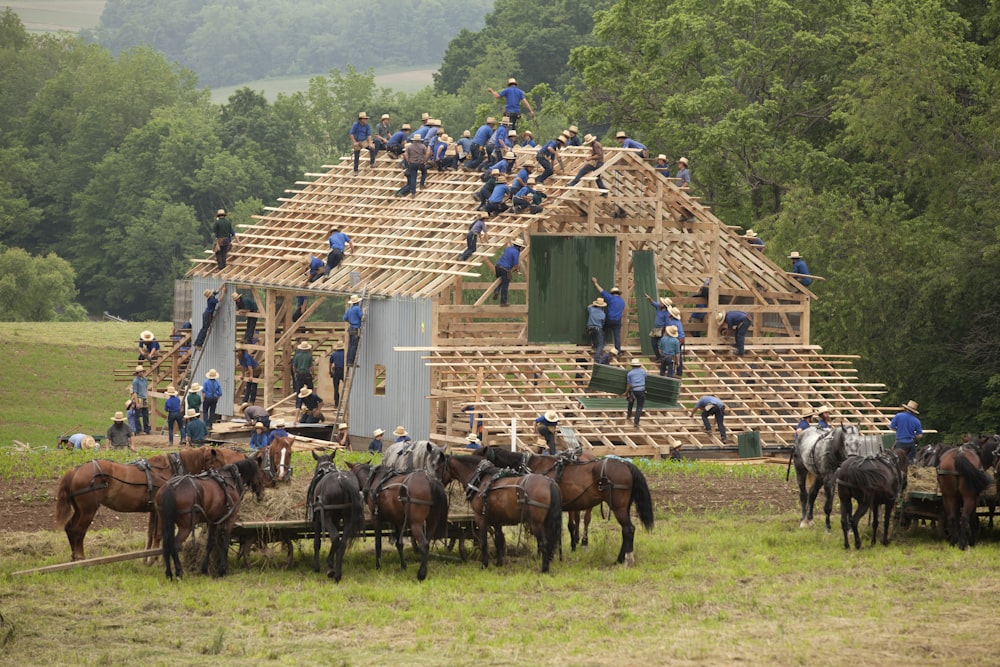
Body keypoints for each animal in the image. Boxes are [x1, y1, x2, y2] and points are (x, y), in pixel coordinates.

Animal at [55, 446, 240, 560]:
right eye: (219, 462)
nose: (226, 478)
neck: (169, 469)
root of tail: (75, 471)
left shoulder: (153, 511)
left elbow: (151, 534)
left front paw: (147, 558)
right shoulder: (160, 511)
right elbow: (158, 534)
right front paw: (154, 558)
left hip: (80, 510)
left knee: (70, 529)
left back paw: (74, 558)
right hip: (88, 510)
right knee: (78, 531)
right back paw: (80, 557)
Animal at [308, 452, 368, 580]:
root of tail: (341, 480)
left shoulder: (317, 520)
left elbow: (317, 543)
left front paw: (316, 566)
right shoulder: (335, 520)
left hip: (326, 518)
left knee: (335, 537)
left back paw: (330, 566)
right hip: (348, 518)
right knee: (342, 542)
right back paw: (337, 573)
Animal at [478, 446, 652, 568]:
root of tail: (626, 464)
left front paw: (546, 555)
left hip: (619, 507)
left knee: (628, 529)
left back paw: (627, 560)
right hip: (623, 507)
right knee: (625, 530)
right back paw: (619, 559)